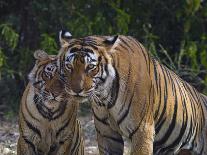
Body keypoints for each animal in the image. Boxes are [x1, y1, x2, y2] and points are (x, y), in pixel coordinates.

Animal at [57, 30, 207, 155]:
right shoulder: (107, 133)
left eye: (90, 67)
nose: (76, 90)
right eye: (69, 66)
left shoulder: (142, 130)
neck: (105, 96)